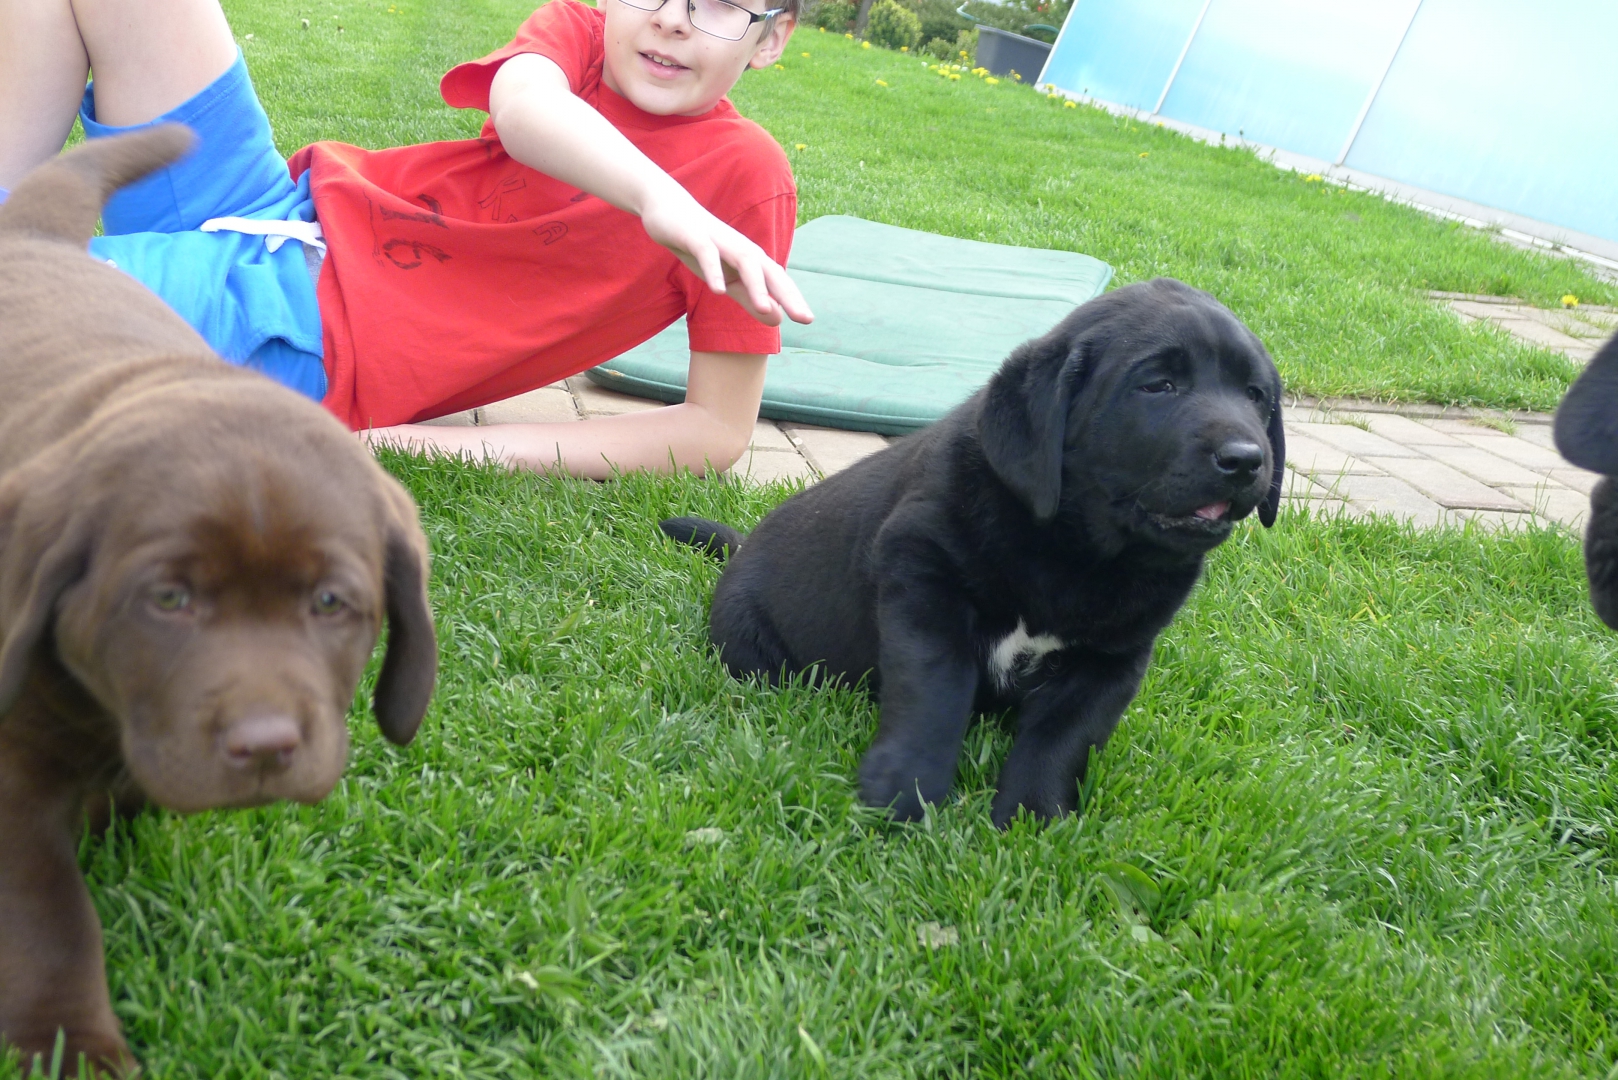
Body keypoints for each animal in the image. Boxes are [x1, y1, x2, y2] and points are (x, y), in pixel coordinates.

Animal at [0, 128, 437, 1074]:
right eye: (167, 599)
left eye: (330, 603)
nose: (266, 746)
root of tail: (35, 236)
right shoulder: (9, 776)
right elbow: (48, 918)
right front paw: (72, 1045)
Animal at [663, 279, 1283, 827]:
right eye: (1158, 386)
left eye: (1256, 397)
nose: (1246, 459)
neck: (1075, 551)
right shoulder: (924, 582)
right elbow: (935, 692)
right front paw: (902, 794)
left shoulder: (1114, 656)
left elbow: (1065, 736)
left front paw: (1035, 820)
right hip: (751, 643)